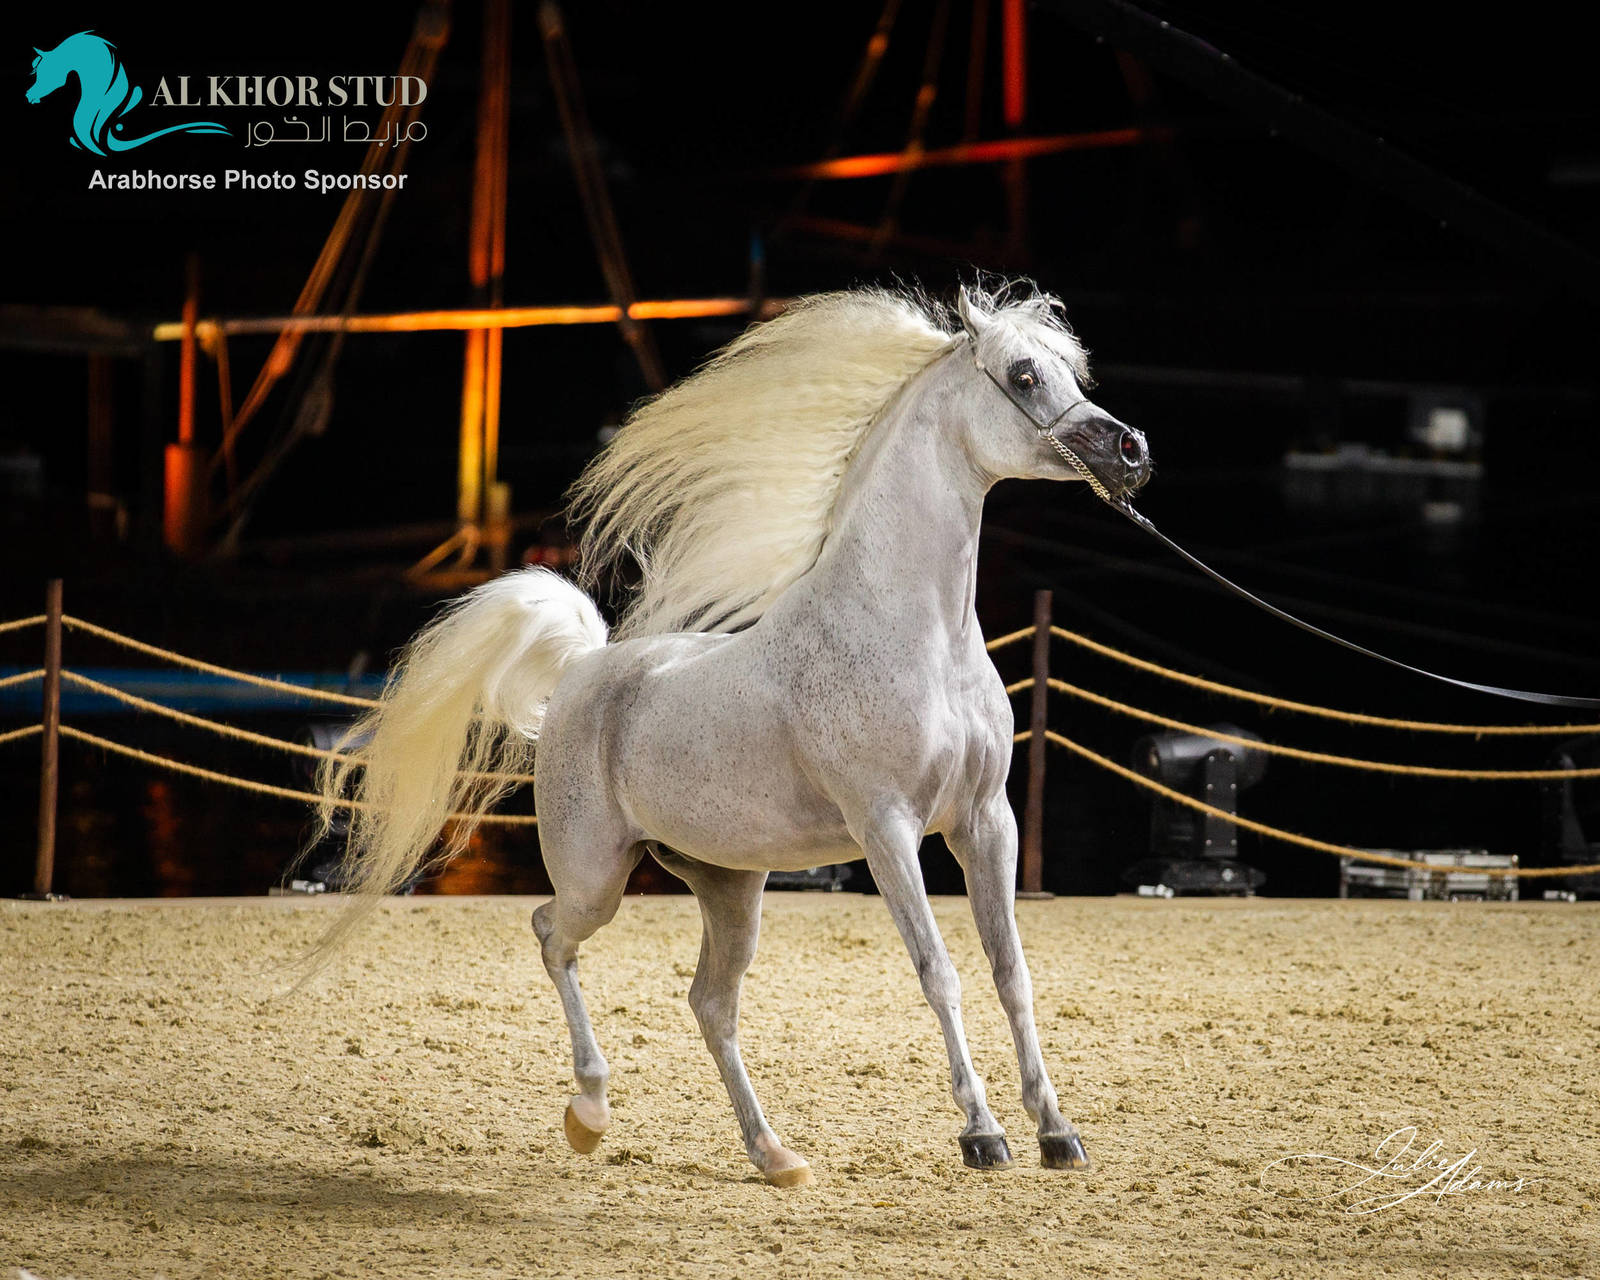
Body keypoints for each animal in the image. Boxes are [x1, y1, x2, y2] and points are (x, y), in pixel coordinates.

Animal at [313, 283, 1152, 1186]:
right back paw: (590, 1111)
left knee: (709, 1002)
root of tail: (582, 670)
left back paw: (773, 1153)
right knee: (550, 935)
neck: (918, 635)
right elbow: (940, 972)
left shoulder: (984, 822)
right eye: (1025, 374)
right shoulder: (887, 828)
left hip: (729, 885)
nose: (1132, 451)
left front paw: (1057, 1132)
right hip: (596, 876)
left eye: (1072, 370)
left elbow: (1011, 973)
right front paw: (982, 1133)